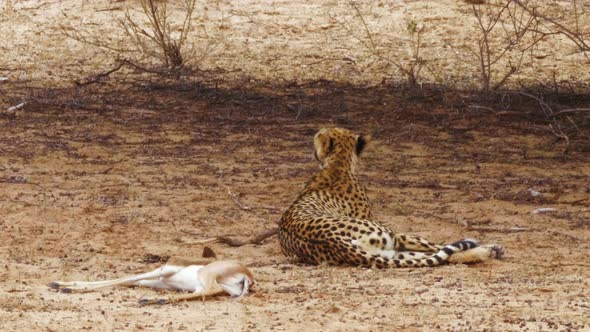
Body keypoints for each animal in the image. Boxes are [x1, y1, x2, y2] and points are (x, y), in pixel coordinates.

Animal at [278, 126, 504, 268]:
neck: (338, 165)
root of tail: (336, 242)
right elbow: (438, 244)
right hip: (392, 237)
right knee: (437, 249)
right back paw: (488, 250)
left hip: (387, 251)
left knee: (435, 255)